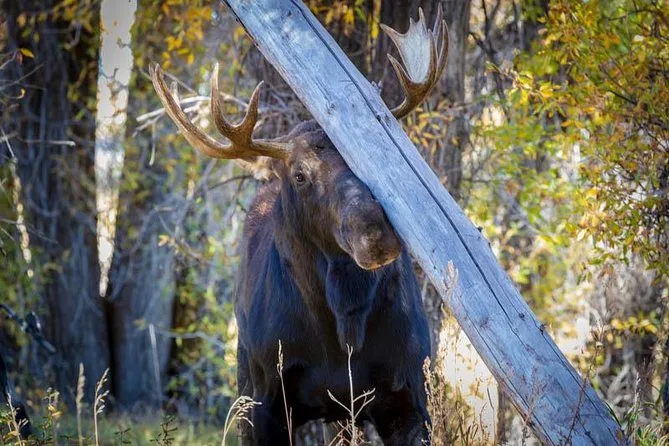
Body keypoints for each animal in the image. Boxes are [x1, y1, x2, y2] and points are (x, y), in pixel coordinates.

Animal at [151, 8, 447, 445]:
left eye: (364, 156)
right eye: (300, 175)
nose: (375, 235)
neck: (341, 329)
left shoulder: (409, 397)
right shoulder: (264, 403)